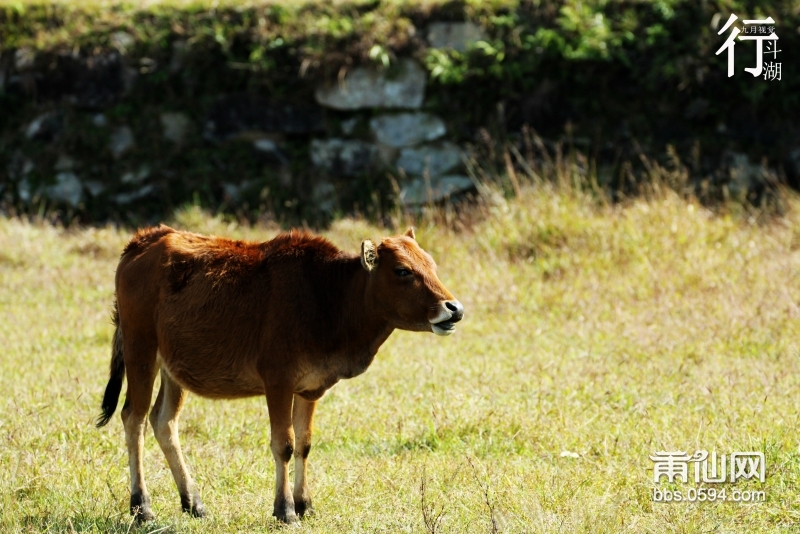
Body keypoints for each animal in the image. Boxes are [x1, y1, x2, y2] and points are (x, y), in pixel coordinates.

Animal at [97, 224, 462, 524]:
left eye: (431, 265)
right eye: (403, 270)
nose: (454, 308)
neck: (329, 298)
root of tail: (143, 241)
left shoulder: (309, 388)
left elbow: (304, 444)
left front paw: (305, 504)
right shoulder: (278, 382)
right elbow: (283, 445)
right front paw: (285, 510)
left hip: (173, 369)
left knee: (163, 422)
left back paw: (193, 503)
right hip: (141, 351)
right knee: (134, 419)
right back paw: (142, 508)